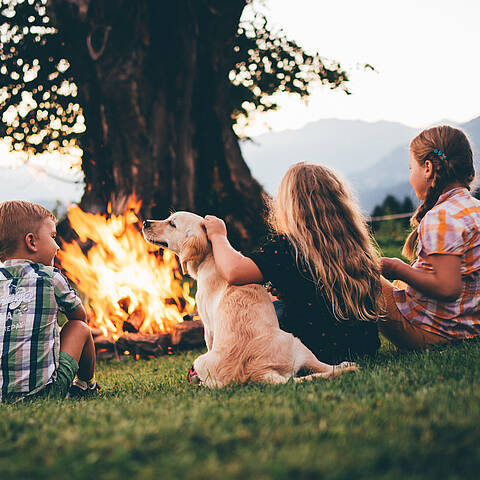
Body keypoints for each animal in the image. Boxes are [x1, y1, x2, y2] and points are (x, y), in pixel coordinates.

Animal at [142, 212, 356, 388]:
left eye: (172, 223)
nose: (145, 222)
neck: (212, 257)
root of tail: (257, 372)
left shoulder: (208, 327)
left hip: (292, 342)